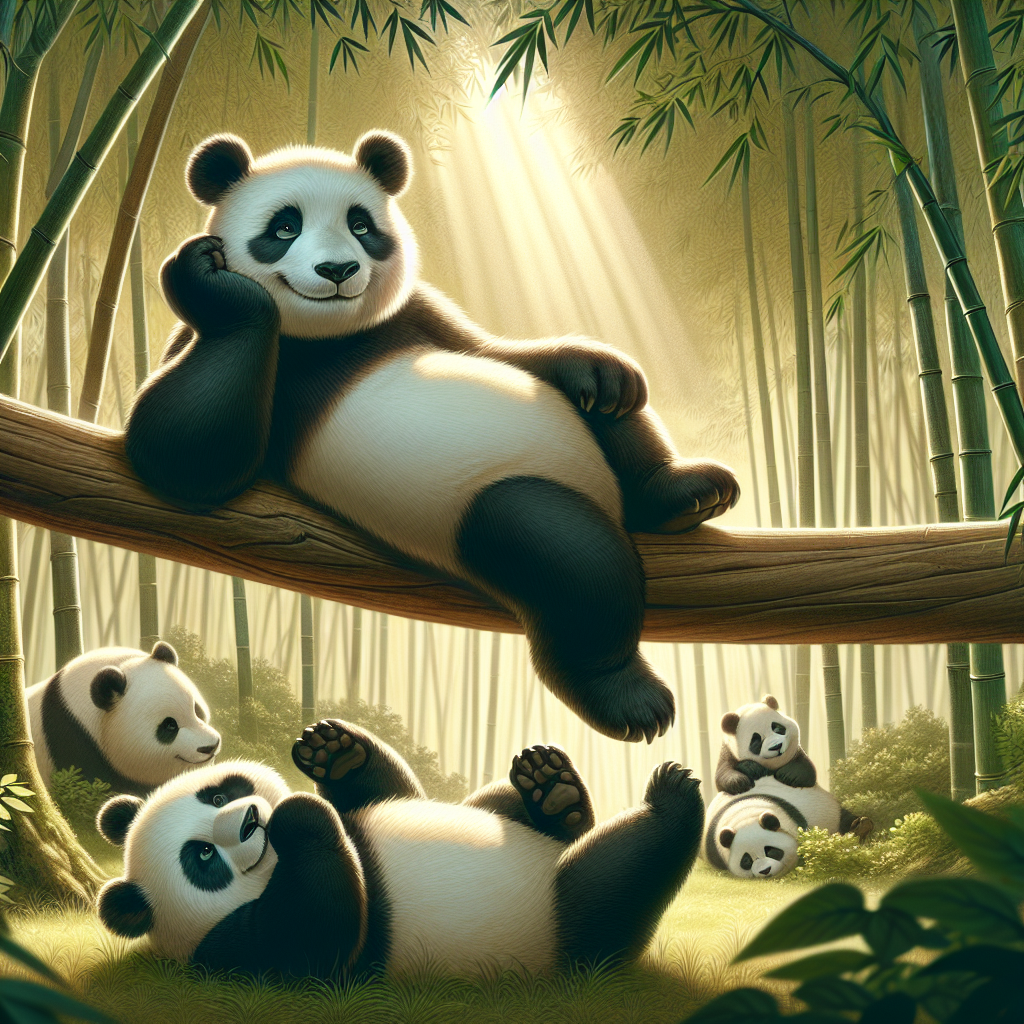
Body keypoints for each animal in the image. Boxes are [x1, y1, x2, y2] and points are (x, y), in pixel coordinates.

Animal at [95, 718, 704, 977]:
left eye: (219, 792)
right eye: (201, 857)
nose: (249, 821)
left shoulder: (364, 813)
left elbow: (392, 793)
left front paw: (334, 752)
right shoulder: (233, 944)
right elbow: (326, 936)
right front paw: (299, 814)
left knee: (504, 807)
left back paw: (553, 790)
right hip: (556, 924)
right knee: (615, 883)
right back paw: (670, 803)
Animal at [123, 130, 740, 745]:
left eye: (362, 224)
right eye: (284, 228)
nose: (339, 269)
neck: (329, 335)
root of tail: (605, 497)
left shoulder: (419, 311)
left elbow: (495, 351)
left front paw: (602, 368)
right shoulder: (248, 358)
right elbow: (186, 453)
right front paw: (205, 273)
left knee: (613, 427)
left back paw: (684, 491)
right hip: (484, 509)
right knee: (570, 560)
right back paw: (628, 696)